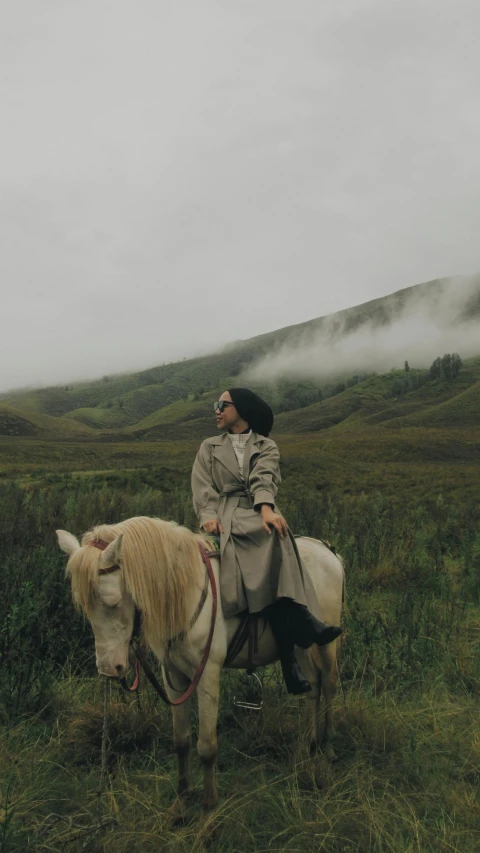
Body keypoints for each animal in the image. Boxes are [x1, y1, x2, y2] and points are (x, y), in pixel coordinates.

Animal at [56, 512, 344, 812]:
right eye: (84, 606)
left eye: (112, 601)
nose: (110, 669)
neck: (184, 591)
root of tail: (326, 549)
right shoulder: (173, 676)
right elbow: (181, 740)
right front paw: (183, 797)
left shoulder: (207, 675)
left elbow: (206, 745)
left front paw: (208, 804)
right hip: (300, 647)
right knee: (312, 686)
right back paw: (309, 744)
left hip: (326, 644)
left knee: (329, 684)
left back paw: (328, 744)